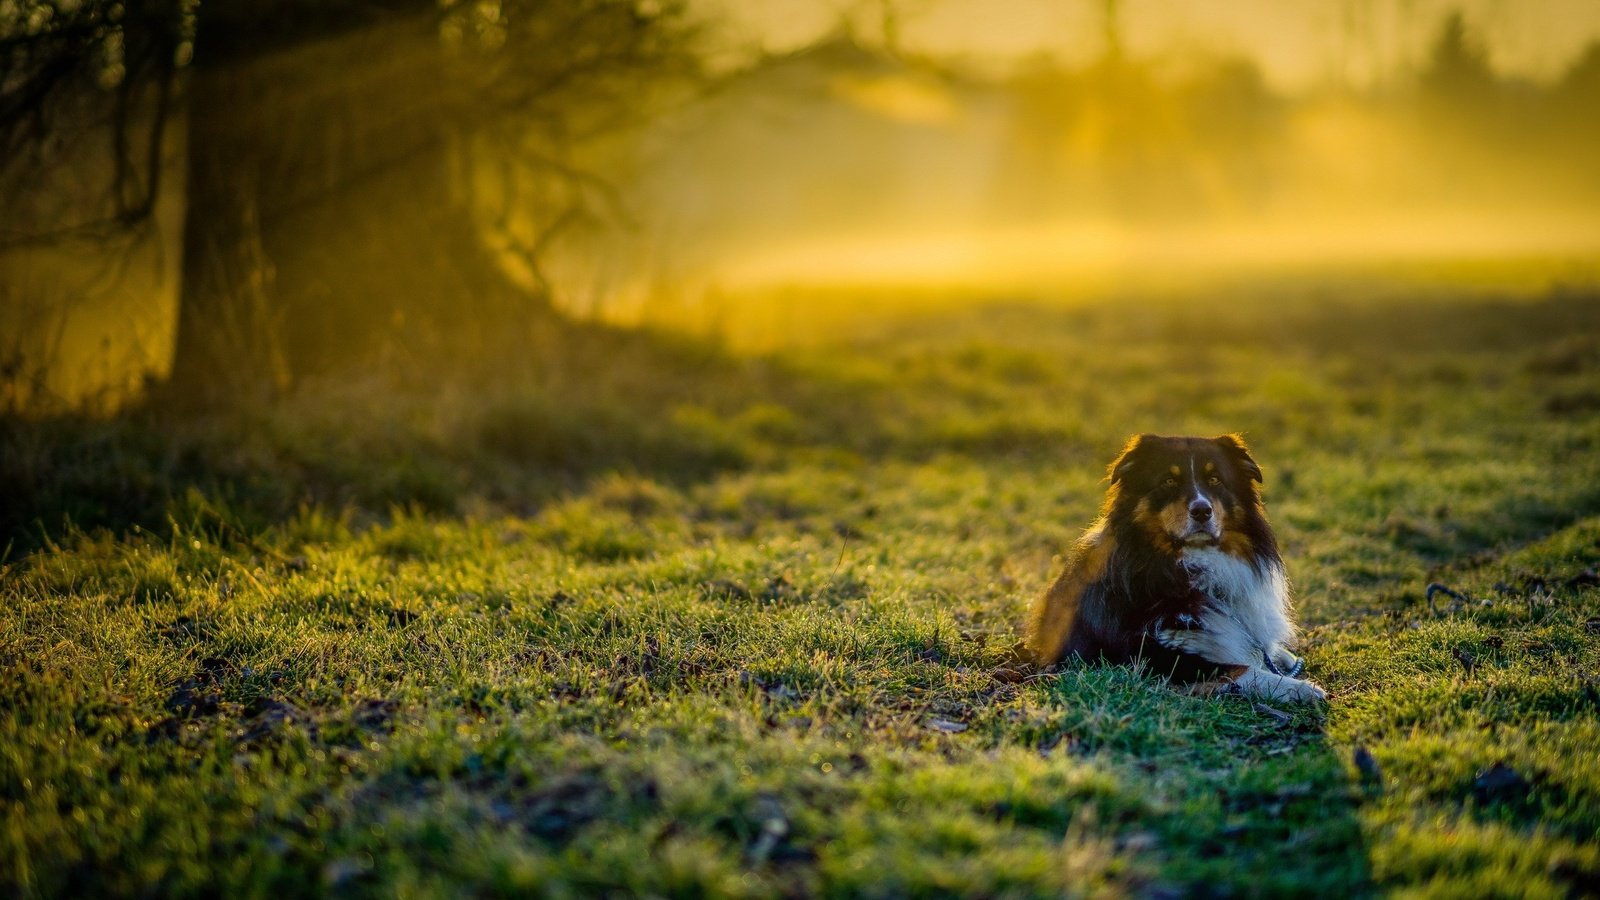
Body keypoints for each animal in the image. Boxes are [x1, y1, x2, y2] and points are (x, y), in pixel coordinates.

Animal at [1024, 432, 1324, 701]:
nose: (1202, 511)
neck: (1190, 566)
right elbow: (1240, 668)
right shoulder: (1151, 655)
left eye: (1215, 479)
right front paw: (1300, 688)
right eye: (1168, 481)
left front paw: (1286, 661)